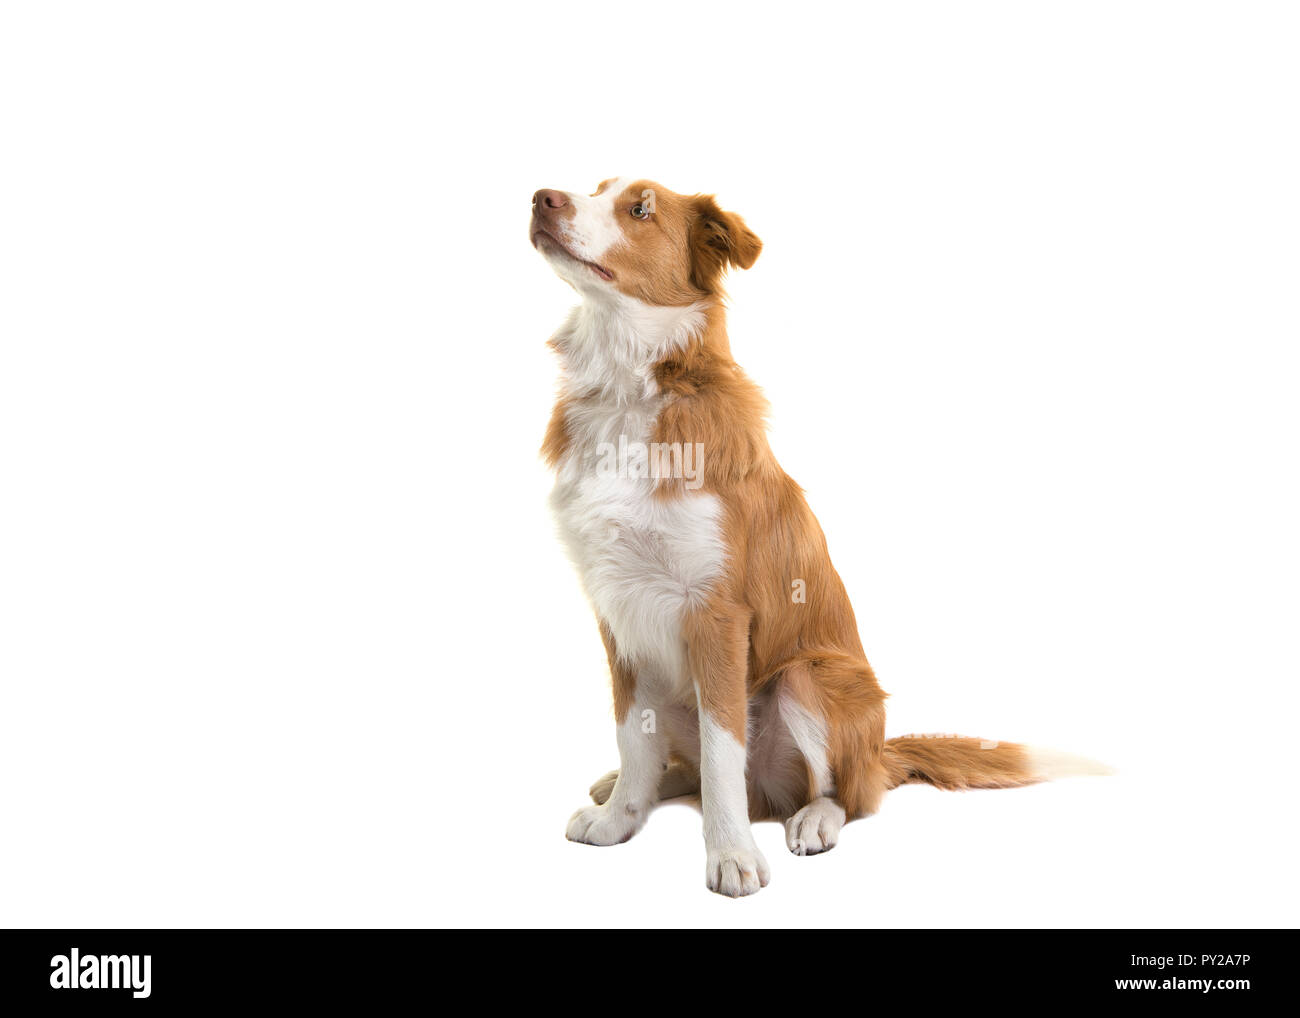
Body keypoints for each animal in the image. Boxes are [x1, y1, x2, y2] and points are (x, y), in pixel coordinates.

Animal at [527, 179, 1107, 894]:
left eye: (640, 208)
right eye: (594, 190)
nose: (542, 198)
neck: (629, 386)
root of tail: (879, 753)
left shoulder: (717, 614)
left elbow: (723, 756)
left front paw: (732, 855)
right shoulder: (617, 609)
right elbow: (632, 734)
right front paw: (619, 820)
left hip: (810, 678)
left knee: (845, 794)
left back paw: (813, 819)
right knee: (683, 763)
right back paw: (635, 785)